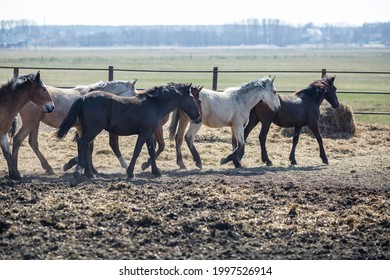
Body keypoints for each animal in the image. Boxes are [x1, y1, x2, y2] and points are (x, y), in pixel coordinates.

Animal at [56, 83, 201, 179]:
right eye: (193, 99)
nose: (198, 118)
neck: (154, 105)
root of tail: (83, 98)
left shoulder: (149, 133)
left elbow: (151, 150)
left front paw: (156, 172)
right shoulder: (144, 132)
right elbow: (137, 150)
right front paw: (131, 172)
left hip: (88, 130)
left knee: (85, 146)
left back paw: (88, 173)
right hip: (93, 129)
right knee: (82, 143)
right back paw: (81, 172)